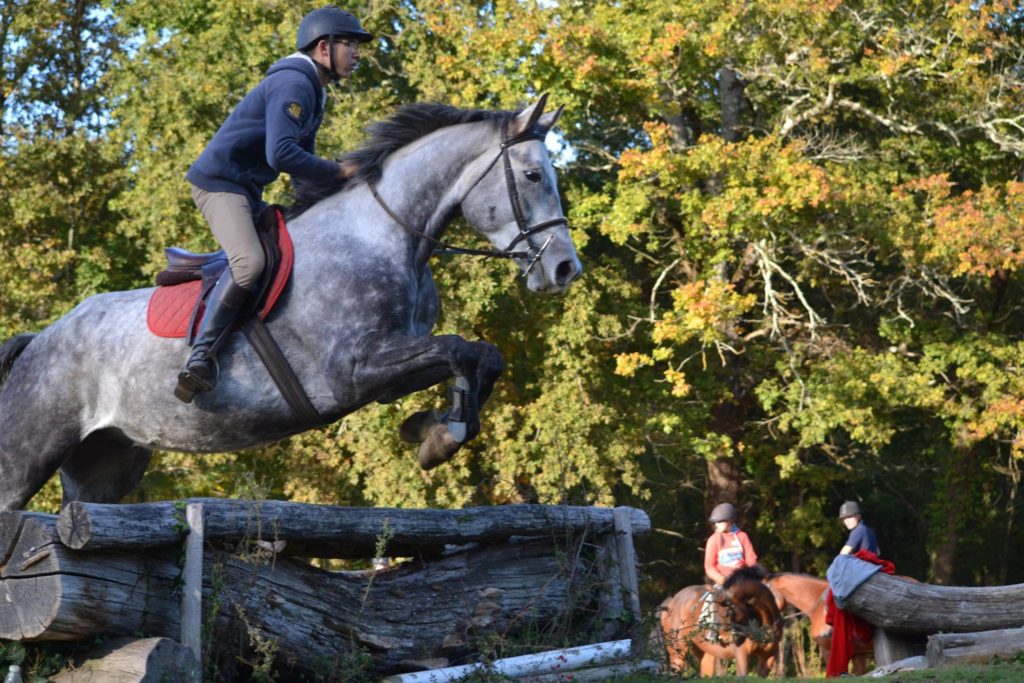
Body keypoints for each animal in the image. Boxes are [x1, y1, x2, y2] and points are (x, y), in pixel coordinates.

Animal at [0, 97, 581, 511]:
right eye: (533, 176)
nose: (565, 269)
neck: (386, 234)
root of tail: (40, 341)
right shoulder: (354, 370)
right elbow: (460, 349)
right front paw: (441, 435)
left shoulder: (391, 369)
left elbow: (480, 355)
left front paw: (436, 429)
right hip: (26, 454)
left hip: (105, 464)